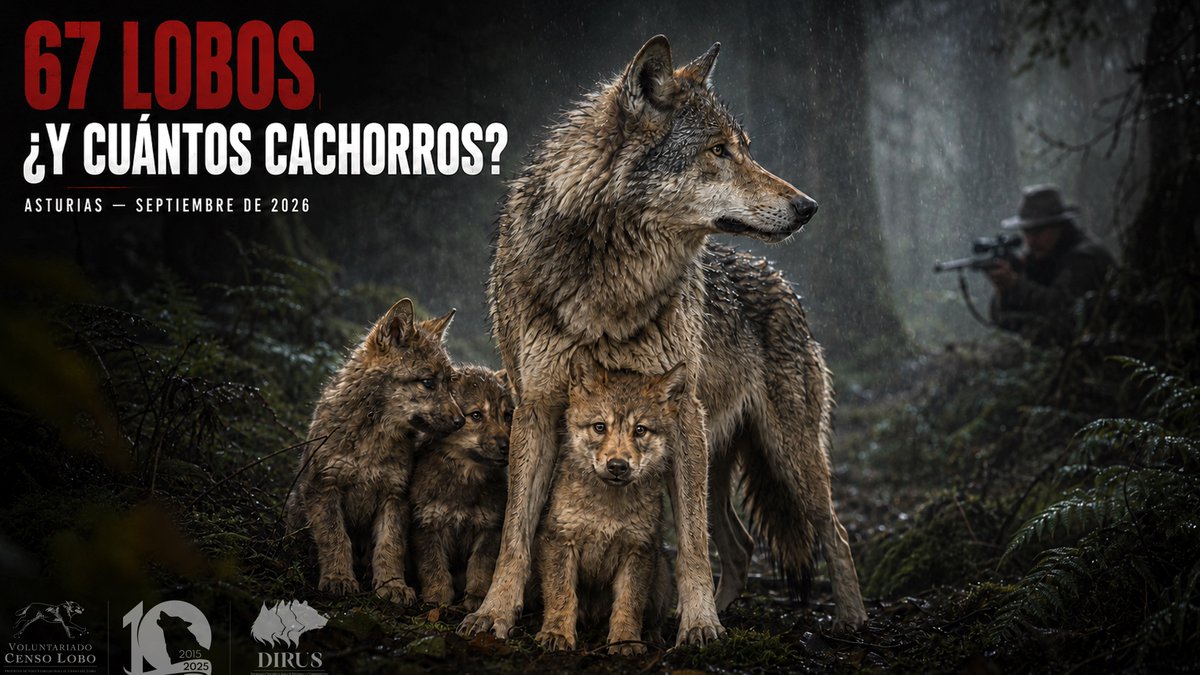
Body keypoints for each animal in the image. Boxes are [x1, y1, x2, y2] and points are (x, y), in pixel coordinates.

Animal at [286, 298, 464, 605]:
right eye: (428, 383)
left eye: (450, 383)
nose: (460, 421)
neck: (374, 435)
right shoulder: (325, 487)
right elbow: (335, 537)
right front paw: (338, 578)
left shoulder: (395, 495)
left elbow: (390, 545)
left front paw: (392, 585)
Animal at [411, 365, 513, 610]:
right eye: (476, 415)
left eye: (507, 415)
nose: (507, 446)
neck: (466, 476)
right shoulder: (426, 523)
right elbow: (433, 565)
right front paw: (437, 598)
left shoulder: (489, 527)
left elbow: (480, 566)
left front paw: (476, 598)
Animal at [535, 359, 677, 656]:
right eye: (599, 427)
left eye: (640, 430)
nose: (617, 466)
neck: (608, 506)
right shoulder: (560, 541)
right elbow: (561, 594)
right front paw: (556, 634)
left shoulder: (638, 549)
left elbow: (629, 602)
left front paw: (625, 641)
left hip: (661, 577)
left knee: (655, 616)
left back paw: (653, 637)